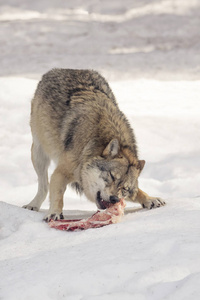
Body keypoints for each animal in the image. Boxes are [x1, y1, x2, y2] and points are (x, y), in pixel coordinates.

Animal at [22, 68, 165, 220]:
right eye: (111, 176)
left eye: (124, 188)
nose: (114, 199)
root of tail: (63, 69)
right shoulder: (61, 172)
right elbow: (58, 194)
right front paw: (54, 212)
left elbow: (138, 191)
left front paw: (150, 199)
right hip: (38, 154)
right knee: (43, 185)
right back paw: (33, 205)